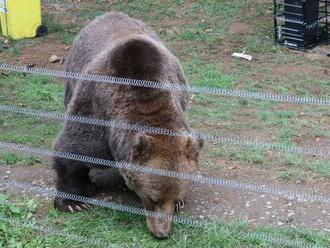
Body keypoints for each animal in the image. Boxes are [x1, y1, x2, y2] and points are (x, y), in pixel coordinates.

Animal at [52, 11, 202, 238]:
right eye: (153, 198)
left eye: (175, 198)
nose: (162, 232)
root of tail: (108, 14)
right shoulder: (97, 113)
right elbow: (73, 149)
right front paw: (73, 201)